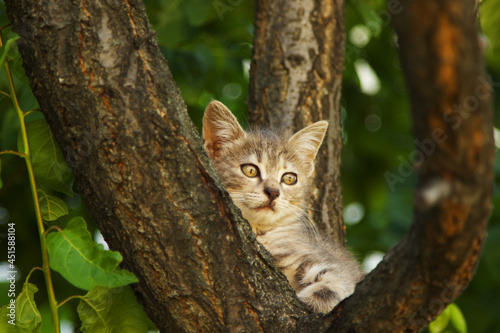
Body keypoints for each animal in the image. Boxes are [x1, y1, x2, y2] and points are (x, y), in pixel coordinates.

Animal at [203, 100, 364, 312]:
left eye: (289, 178)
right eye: (250, 170)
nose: (273, 192)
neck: (261, 233)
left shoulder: (326, 260)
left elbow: (338, 280)